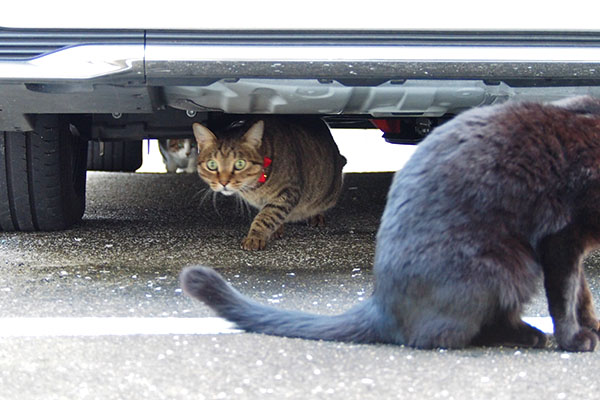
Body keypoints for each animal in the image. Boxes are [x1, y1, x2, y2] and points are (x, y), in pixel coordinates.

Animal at [192, 115, 346, 250]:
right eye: (212, 165)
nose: (223, 182)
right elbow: (269, 213)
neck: (254, 188)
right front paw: (276, 229)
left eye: (240, 164)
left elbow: (266, 216)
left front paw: (255, 237)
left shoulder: (288, 191)